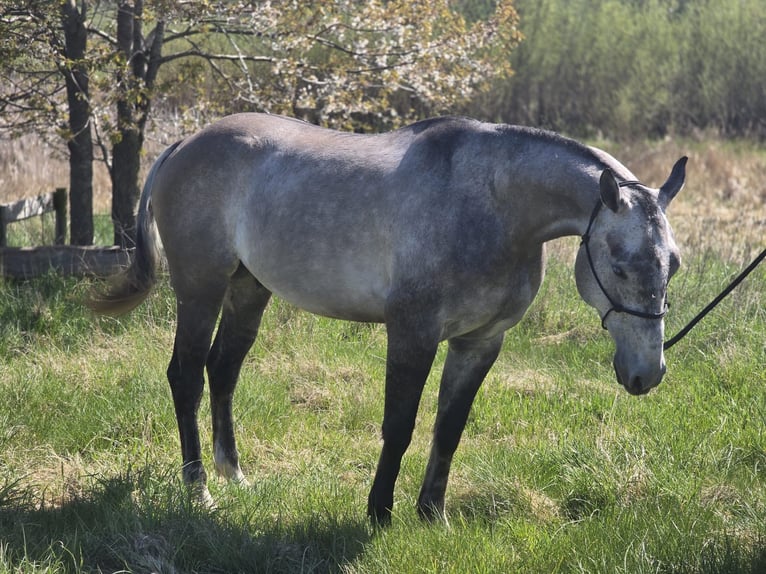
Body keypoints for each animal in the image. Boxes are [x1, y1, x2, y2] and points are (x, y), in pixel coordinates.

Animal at [91, 113, 686, 525]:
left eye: (673, 262)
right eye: (620, 262)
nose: (647, 373)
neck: (493, 204)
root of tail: (183, 145)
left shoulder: (479, 343)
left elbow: (449, 427)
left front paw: (432, 515)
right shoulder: (413, 334)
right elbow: (399, 426)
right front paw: (379, 513)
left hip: (247, 289)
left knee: (222, 371)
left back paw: (234, 475)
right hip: (201, 290)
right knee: (187, 376)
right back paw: (200, 491)